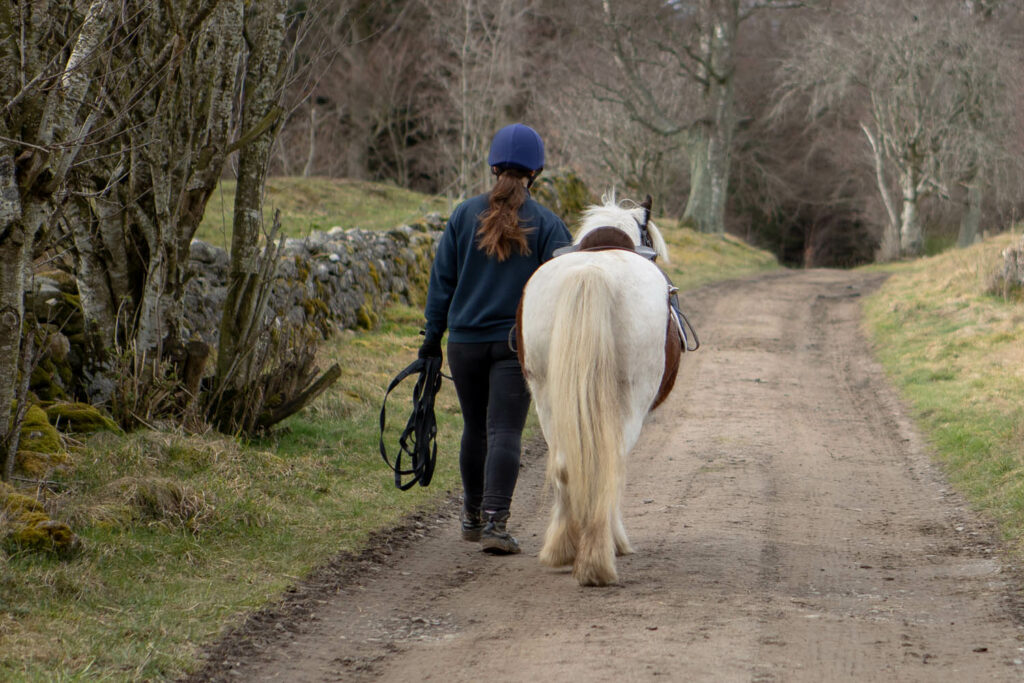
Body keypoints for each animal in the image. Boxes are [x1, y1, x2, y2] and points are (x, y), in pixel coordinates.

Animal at [520, 193, 679, 589]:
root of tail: (592, 271)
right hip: (631, 401)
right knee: (610, 465)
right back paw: (599, 559)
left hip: (545, 397)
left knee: (565, 465)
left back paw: (563, 549)